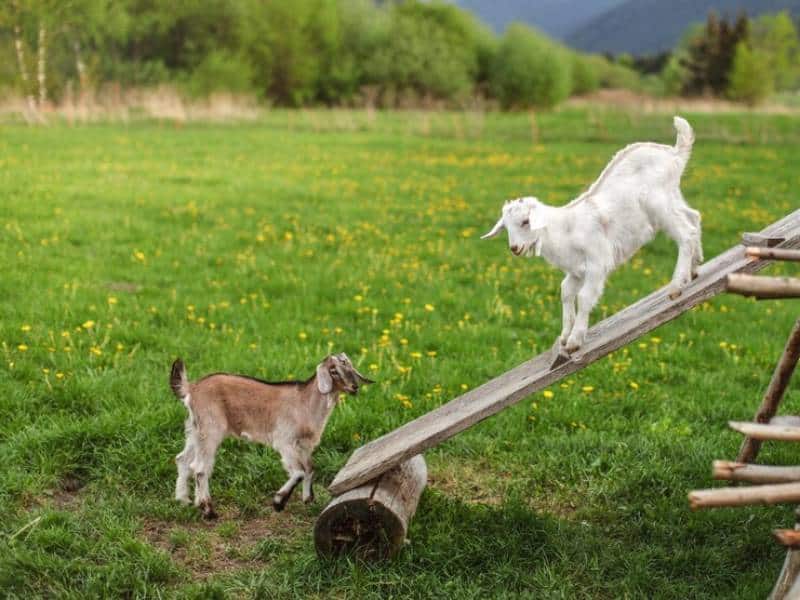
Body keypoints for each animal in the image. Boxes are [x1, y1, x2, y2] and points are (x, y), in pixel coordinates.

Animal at [169, 353, 373, 519]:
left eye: (349, 366)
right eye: (333, 371)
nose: (354, 387)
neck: (305, 403)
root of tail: (192, 388)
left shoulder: (304, 445)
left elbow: (310, 468)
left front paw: (308, 499)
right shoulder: (285, 442)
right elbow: (299, 472)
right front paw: (278, 502)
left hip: (195, 430)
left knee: (182, 459)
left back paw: (183, 500)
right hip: (211, 429)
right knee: (200, 468)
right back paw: (208, 510)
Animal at [481, 116, 702, 354]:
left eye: (525, 222)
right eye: (505, 227)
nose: (514, 248)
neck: (563, 229)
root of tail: (675, 154)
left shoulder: (597, 261)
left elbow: (584, 297)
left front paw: (575, 341)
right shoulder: (576, 270)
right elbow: (565, 292)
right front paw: (564, 336)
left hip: (657, 204)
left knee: (685, 233)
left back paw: (676, 286)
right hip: (672, 198)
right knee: (694, 217)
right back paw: (694, 266)